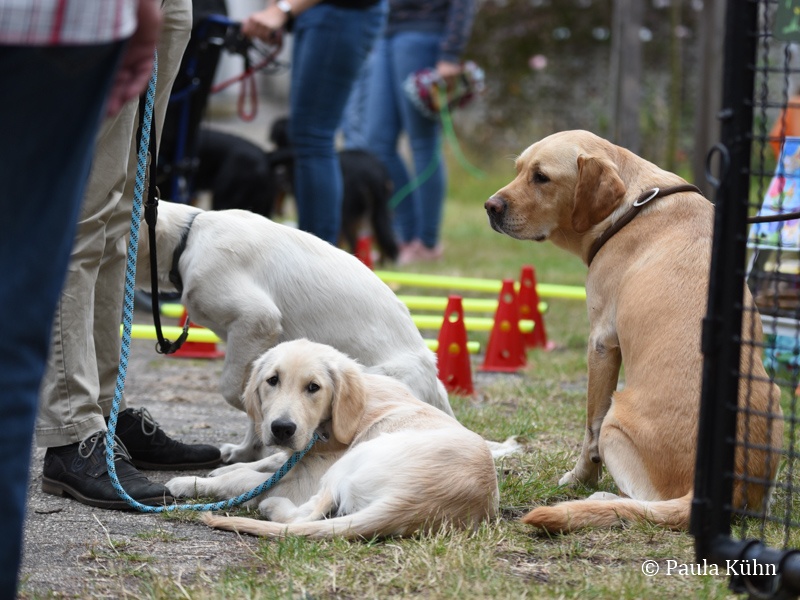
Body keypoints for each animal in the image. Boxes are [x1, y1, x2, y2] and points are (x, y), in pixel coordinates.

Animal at [167, 339, 499, 539]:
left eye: (313, 387)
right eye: (272, 380)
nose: (282, 428)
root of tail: (413, 504)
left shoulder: (305, 480)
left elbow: (243, 481)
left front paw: (189, 483)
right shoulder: (296, 454)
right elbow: (269, 461)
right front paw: (222, 469)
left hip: (349, 463)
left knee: (304, 516)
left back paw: (270, 506)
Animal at [484, 130, 784, 532]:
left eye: (541, 177)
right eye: (518, 169)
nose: (490, 206)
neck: (632, 206)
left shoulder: (601, 343)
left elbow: (589, 434)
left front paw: (578, 480)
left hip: (616, 420)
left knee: (642, 502)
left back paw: (601, 498)